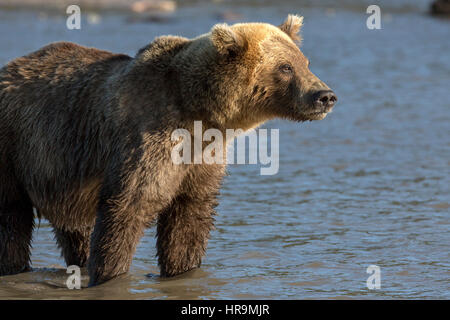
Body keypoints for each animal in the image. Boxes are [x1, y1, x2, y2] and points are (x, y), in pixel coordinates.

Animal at [0, 13, 334, 286]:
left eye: (305, 62)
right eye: (285, 67)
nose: (325, 95)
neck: (199, 111)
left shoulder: (202, 157)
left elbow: (188, 218)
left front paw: (182, 270)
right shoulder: (149, 138)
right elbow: (128, 207)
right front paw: (110, 274)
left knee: (74, 227)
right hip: (15, 145)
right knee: (13, 218)